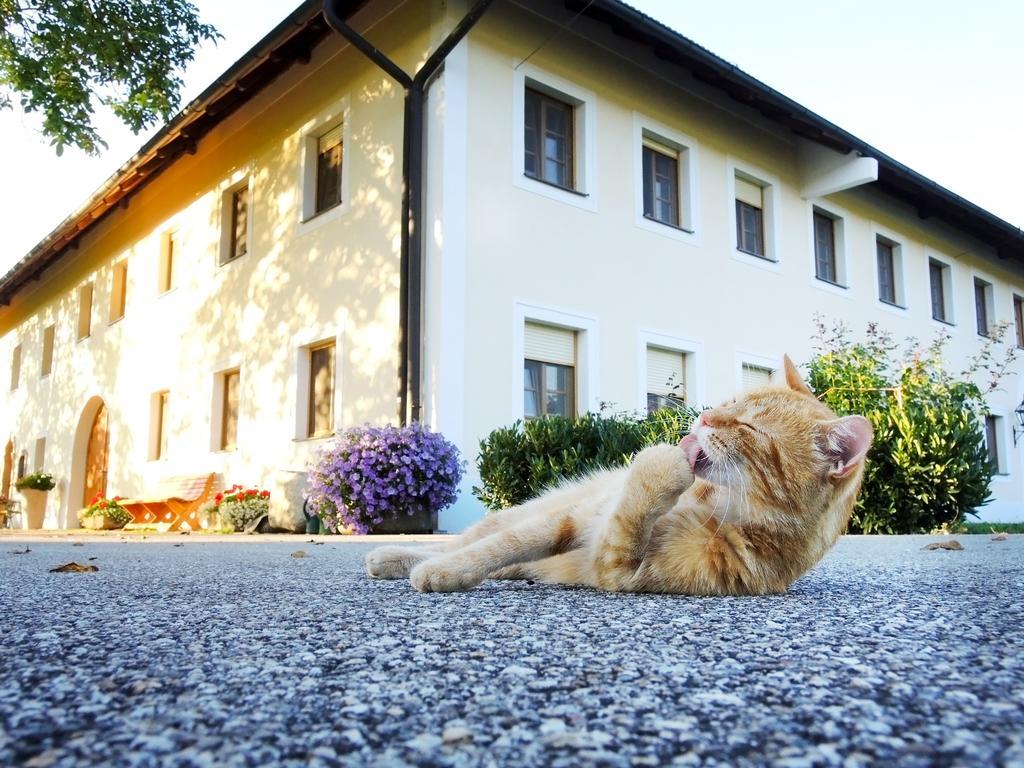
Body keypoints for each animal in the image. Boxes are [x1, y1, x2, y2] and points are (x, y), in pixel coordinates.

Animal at [368, 358, 872, 598]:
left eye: (750, 427)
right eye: (731, 402)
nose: (705, 417)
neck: (714, 505)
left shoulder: (616, 568)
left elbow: (627, 523)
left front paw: (661, 465)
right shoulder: (574, 521)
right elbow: (494, 549)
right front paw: (446, 573)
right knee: (470, 540)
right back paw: (395, 557)